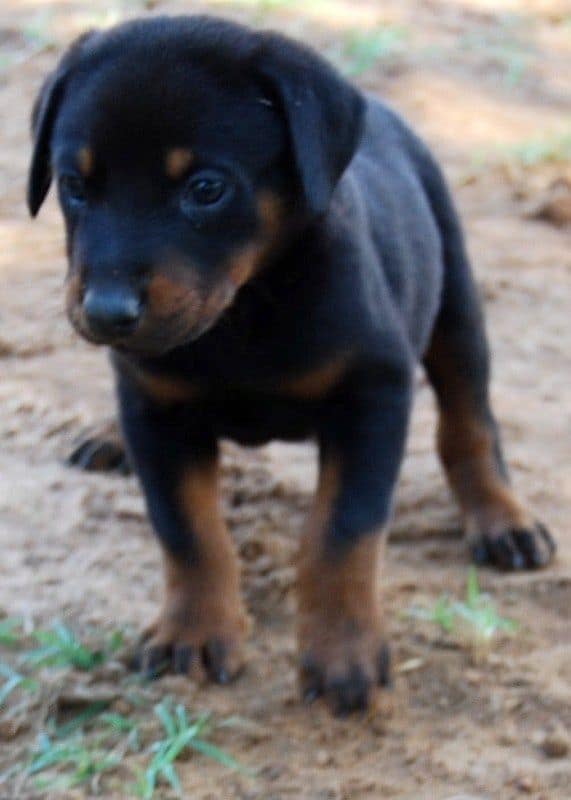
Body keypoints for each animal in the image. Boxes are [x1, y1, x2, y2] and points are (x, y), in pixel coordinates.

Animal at [29, 14, 556, 712]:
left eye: (206, 188)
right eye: (74, 186)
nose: (106, 311)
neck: (247, 309)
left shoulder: (374, 392)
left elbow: (343, 532)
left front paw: (342, 654)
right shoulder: (156, 410)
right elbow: (186, 528)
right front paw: (193, 632)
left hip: (455, 298)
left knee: (469, 420)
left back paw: (502, 519)